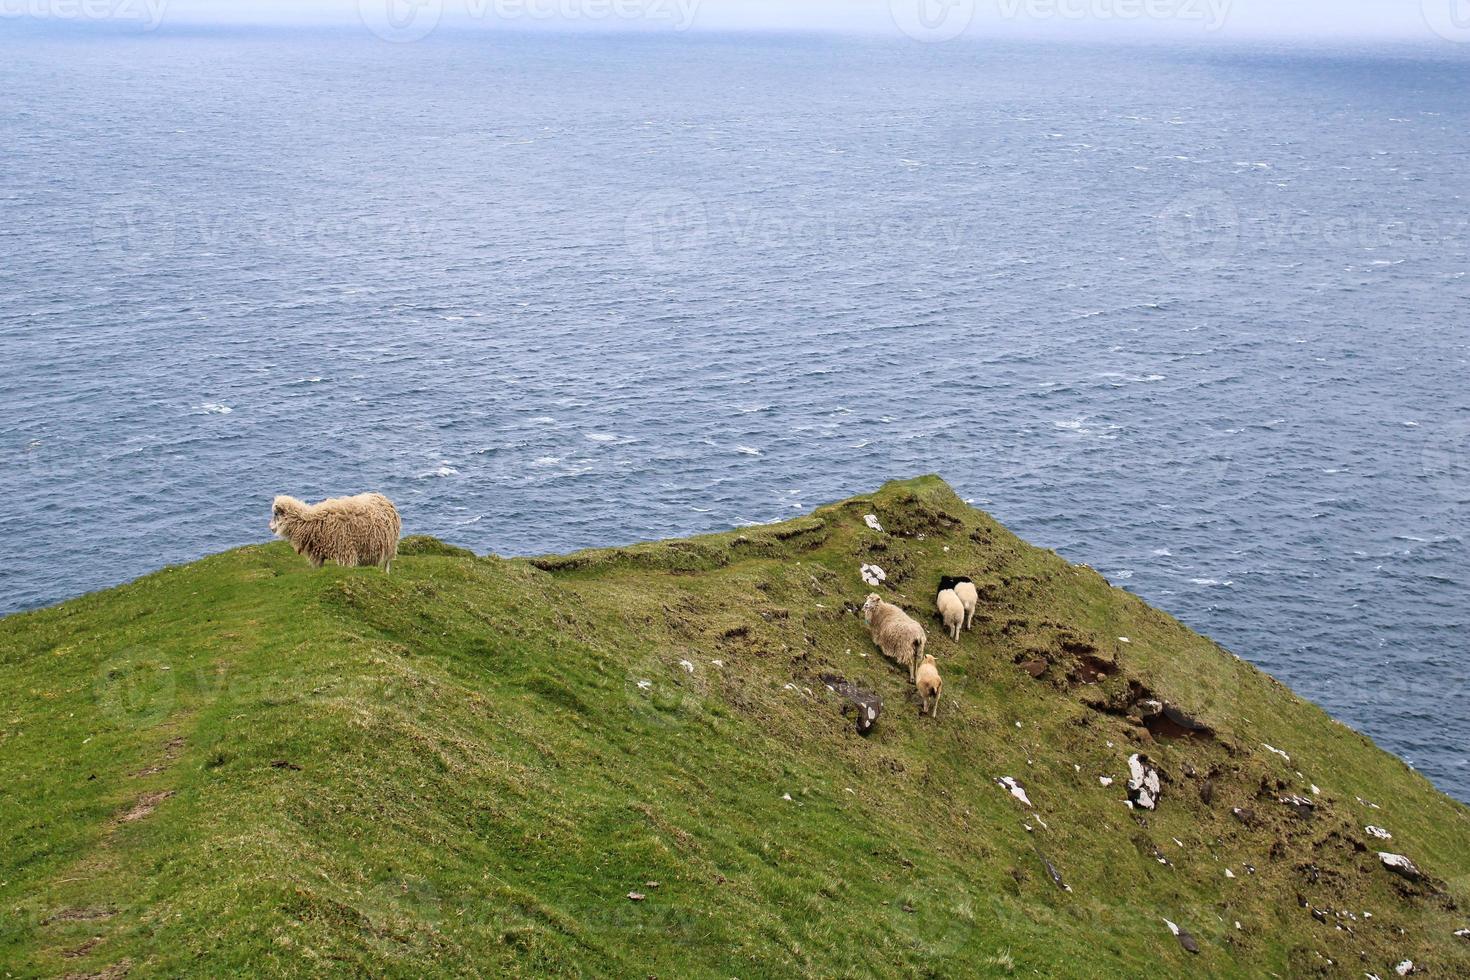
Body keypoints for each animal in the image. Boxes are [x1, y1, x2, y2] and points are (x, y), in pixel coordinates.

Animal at [270, 490, 402, 575]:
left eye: (276, 514)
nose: (271, 528)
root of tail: (383, 498)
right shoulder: (317, 555)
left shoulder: (346, 551)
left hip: (389, 545)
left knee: (387, 563)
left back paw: (385, 574)